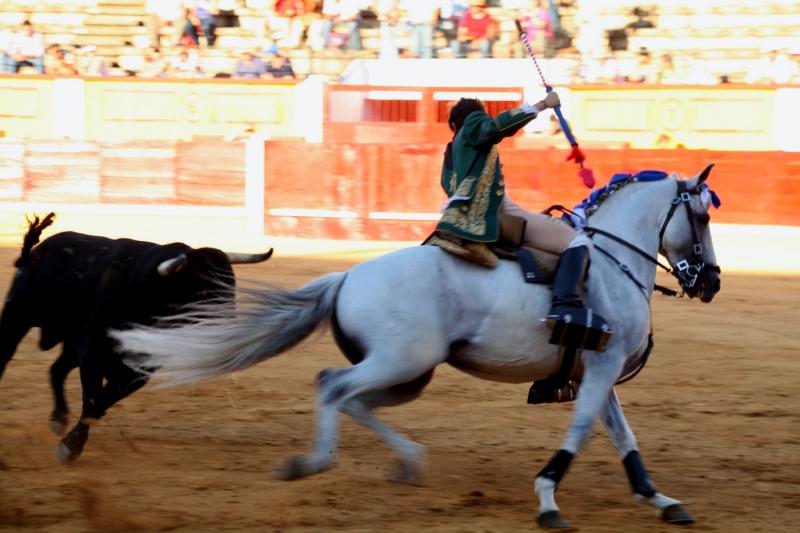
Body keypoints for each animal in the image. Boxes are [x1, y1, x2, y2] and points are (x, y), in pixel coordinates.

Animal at [0, 212, 272, 462]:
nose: (233, 328)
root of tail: (36, 250)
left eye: (231, 286)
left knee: (56, 370)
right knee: (7, 355)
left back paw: (58, 418)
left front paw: (71, 443)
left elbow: (102, 402)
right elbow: (93, 399)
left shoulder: (141, 367)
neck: (146, 290)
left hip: (69, 343)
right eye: (203, 290)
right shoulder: (94, 350)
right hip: (16, 318)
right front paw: (72, 446)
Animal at [115, 165, 720, 528]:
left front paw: (660, 499)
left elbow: (622, 436)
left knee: (352, 399)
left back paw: (402, 461)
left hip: (410, 373)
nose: (711, 282)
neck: (615, 263)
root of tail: (347, 276)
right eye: (702, 215)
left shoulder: (599, 369)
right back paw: (315, 462)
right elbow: (581, 430)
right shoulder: (601, 367)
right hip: (401, 361)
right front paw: (548, 500)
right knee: (331, 386)